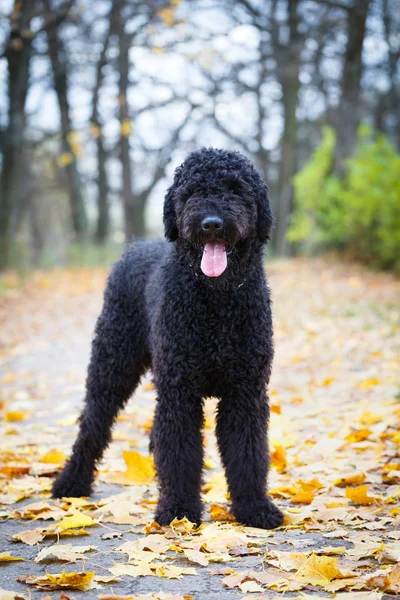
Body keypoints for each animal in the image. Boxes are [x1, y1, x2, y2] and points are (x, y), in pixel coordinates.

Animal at [53, 149, 284, 528]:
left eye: (235, 189)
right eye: (191, 192)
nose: (211, 223)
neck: (215, 302)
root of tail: (134, 246)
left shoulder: (244, 392)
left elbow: (248, 454)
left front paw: (255, 508)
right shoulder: (180, 392)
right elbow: (179, 453)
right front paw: (177, 511)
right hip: (111, 366)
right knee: (93, 426)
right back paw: (71, 483)